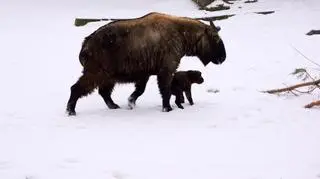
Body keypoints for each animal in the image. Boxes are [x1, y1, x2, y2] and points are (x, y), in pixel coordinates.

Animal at [66, 11, 226, 115]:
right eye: (216, 38)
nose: (223, 57)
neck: (181, 33)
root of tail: (85, 44)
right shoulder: (166, 70)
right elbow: (166, 91)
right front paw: (167, 108)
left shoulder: (145, 74)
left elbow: (140, 91)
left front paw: (131, 102)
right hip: (96, 74)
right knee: (76, 88)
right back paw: (70, 111)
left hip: (108, 77)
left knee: (104, 93)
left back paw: (114, 106)